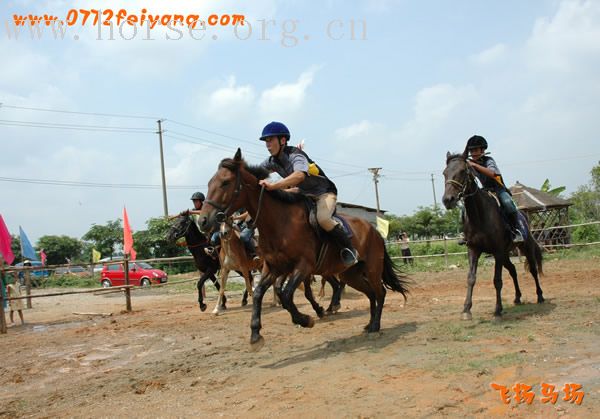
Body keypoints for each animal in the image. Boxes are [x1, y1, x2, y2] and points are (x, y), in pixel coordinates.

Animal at [197, 149, 408, 350]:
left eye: (225, 183)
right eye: (209, 183)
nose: (203, 221)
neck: (280, 222)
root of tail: (375, 231)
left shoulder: (303, 266)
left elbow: (286, 295)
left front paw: (306, 319)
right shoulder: (274, 268)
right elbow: (258, 294)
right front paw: (256, 335)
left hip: (372, 268)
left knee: (380, 292)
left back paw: (375, 326)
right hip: (350, 274)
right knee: (369, 293)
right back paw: (368, 324)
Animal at [440, 153, 544, 320]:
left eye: (462, 171)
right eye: (444, 173)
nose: (447, 200)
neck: (480, 216)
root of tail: (523, 215)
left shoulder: (497, 251)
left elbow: (497, 280)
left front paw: (497, 310)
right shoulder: (474, 250)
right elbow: (471, 278)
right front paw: (466, 309)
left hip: (524, 248)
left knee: (533, 270)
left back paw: (540, 296)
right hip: (506, 254)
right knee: (513, 270)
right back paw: (517, 297)